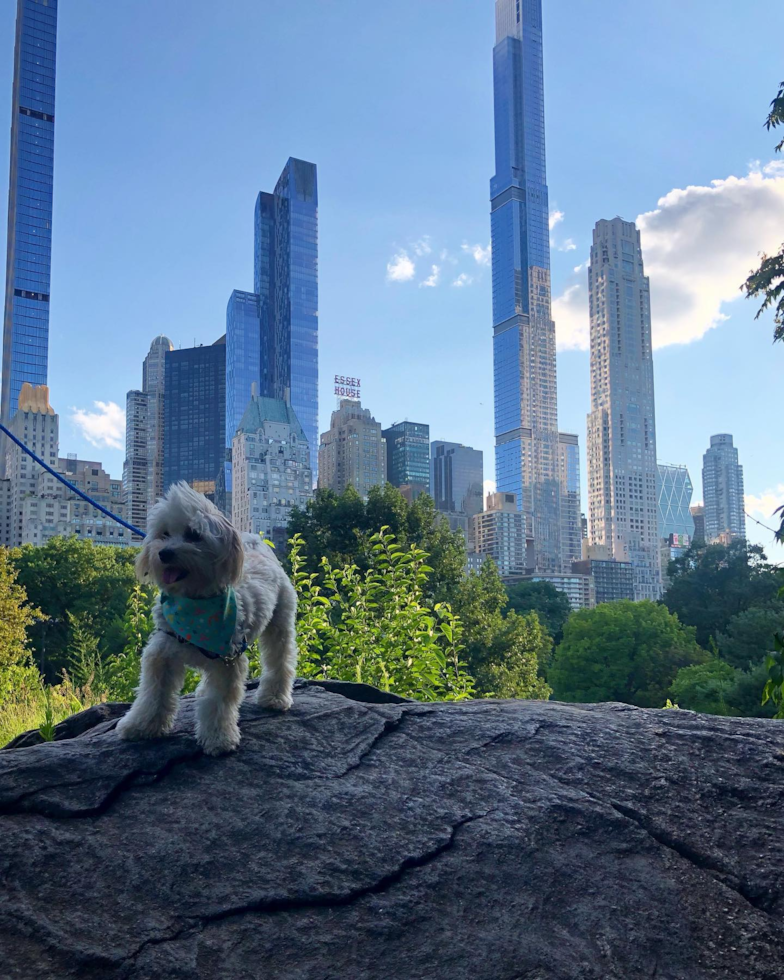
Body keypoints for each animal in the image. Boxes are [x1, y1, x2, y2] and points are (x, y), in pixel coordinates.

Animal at [116, 482, 298, 756]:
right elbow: (153, 695)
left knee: (280, 660)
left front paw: (218, 738)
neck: (195, 605)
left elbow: (218, 703)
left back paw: (275, 698)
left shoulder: (227, 660)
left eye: (193, 534)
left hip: (280, 624)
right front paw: (140, 725)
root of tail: (256, 542)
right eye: (164, 534)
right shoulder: (162, 652)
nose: (164, 553)